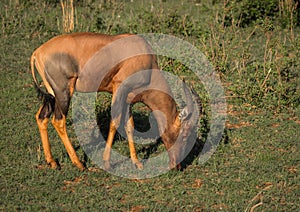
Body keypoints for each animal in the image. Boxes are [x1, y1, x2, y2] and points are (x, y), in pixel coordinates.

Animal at [31, 32, 199, 171]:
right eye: (185, 134)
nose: (177, 166)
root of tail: (37, 52)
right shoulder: (120, 88)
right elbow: (115, 122)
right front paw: (107, 162)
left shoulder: (128, 96)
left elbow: (129, 125)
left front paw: (137, 162)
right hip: (63, 92)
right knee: (58, 120)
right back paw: (79, 164)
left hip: (52, 95)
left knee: (41, 117)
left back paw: (52, 162)